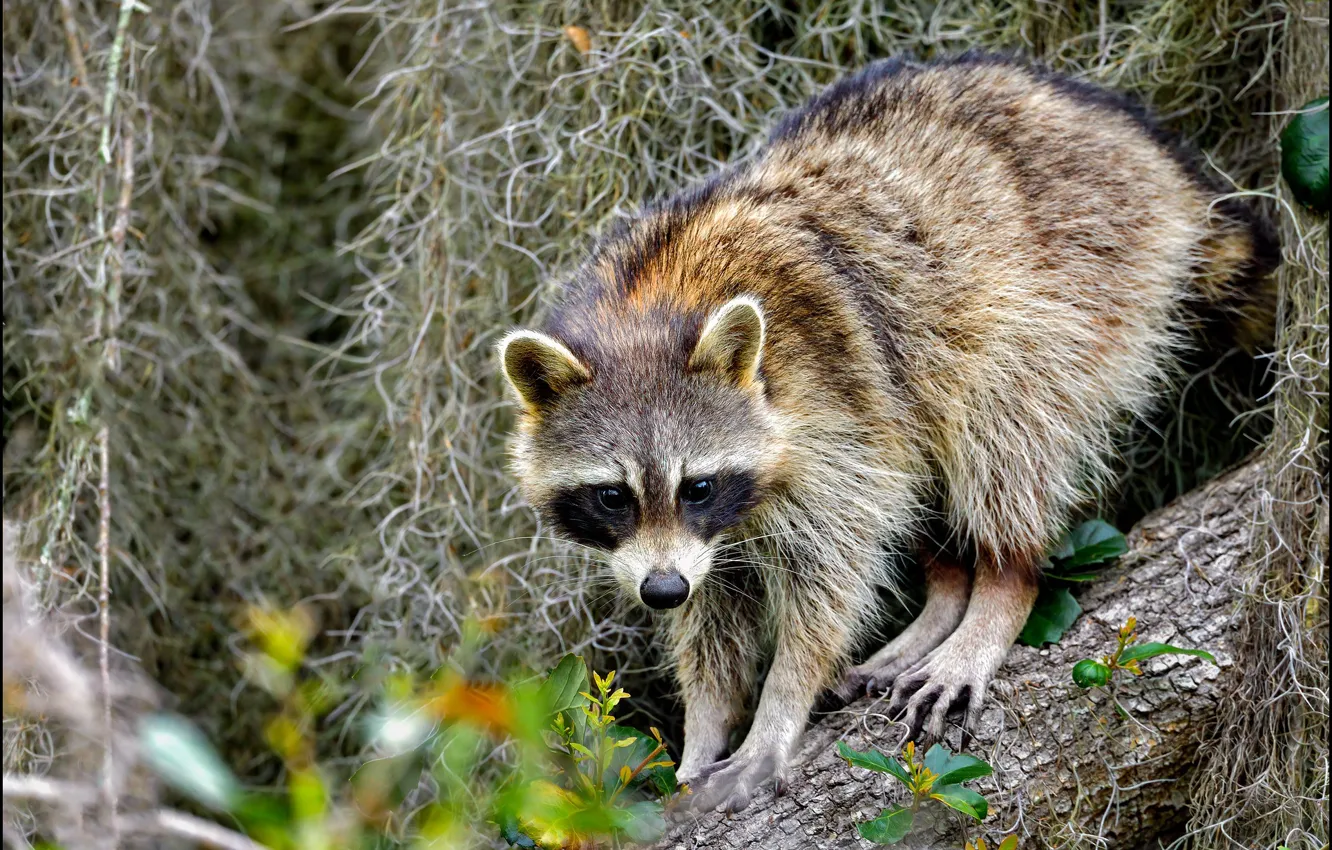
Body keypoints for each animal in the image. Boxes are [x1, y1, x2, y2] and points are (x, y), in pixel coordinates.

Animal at [497, 53, 1277, 813]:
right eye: (612, 496)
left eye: (698, 486)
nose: (660, 591)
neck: (649, 305)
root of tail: (1143, 147)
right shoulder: (713, 531)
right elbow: (714, 611)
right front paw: (705, 727)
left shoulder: (828, 408)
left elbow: (831, 575)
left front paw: (776, 713)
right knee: (920, 469)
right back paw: (945, 594)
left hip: (1083, 272)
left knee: (1001, 414)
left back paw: (1000, 585)